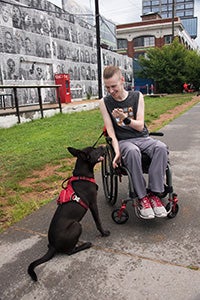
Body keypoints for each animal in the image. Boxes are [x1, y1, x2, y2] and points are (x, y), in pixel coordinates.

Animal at [27, 145, 110, 282]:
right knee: (69, 252)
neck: (82, 175)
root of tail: (53, 245)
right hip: (76, 225)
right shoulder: (93, 203)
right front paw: (104, 233)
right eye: (94, 149)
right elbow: (98, 221)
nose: (104, 146)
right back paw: (86, 244)